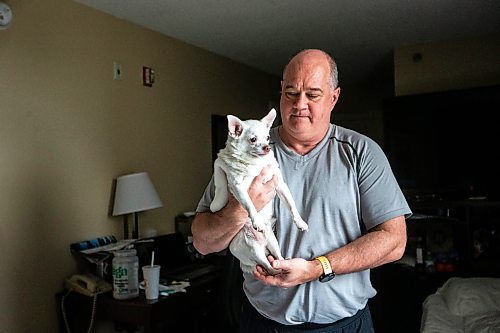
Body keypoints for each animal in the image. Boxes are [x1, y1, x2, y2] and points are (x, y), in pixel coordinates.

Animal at [209, 107, 306, 274]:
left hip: (272, 241)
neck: (254, 163)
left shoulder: (279, 184)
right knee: (268, 268)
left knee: (276, 260)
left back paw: (284, 263)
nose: (267, 147)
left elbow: (291, 204)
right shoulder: (234, 181)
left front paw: (300, 222)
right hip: (252, 249)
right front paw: (217, 203)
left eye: (267, 138)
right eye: (253, 139)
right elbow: (227, 186)